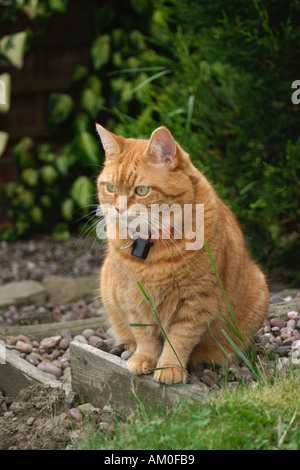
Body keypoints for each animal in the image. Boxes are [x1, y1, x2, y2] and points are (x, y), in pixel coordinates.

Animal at [96, 126, 270, 386]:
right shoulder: (133, 297)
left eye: (141, 190)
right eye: (110, 188)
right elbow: (144, 332)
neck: (152, 247)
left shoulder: (197, 300)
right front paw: (145, 358)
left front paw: (169, 367)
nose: (118, 209)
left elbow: (179, 338)